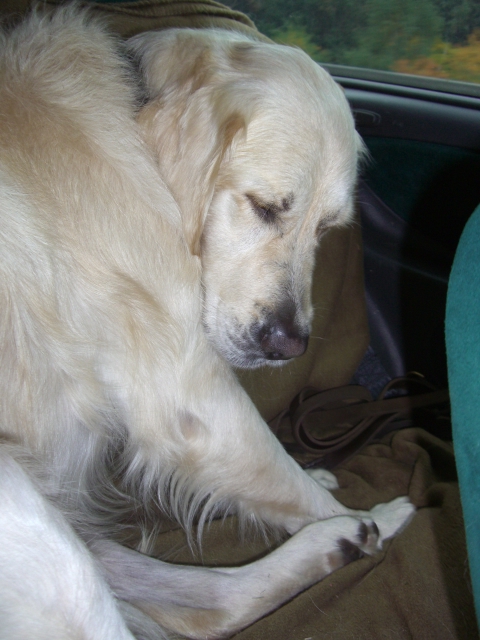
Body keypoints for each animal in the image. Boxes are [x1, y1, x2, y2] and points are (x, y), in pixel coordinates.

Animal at [0, 6, 414, 640]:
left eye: (326, 228)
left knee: (211, 604)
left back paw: (343, 539)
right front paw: (349, 508)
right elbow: (279, 474)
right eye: (265, 206)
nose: (289, 345)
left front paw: (331, 498)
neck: (131, 108)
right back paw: (367, 523)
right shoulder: (191, 403)